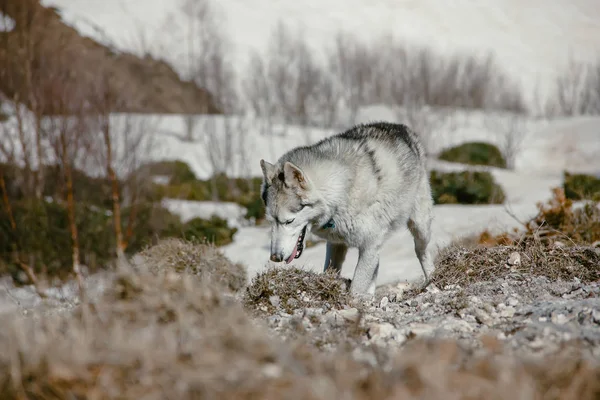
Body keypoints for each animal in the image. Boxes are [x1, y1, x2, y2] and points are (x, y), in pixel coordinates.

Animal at [260, 121, 434, 294]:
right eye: (271, 222)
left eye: (289, 221)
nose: (275, 258)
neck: (342, 193)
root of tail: (400, 127)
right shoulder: (336, 244)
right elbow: (331, 271)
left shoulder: (370, 246)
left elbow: (356, 287)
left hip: (420, 228)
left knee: (422, 252)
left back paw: (431, 280)